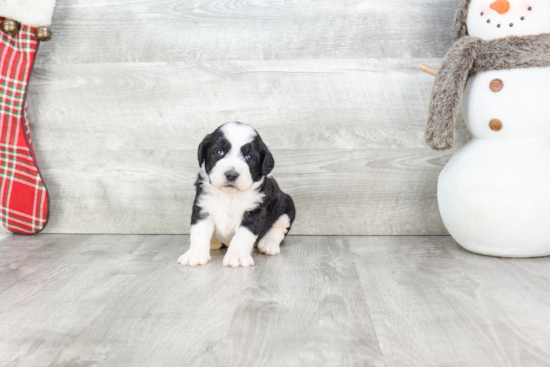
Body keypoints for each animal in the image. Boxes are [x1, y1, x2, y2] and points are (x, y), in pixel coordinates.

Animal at [179, 122, 296, 268]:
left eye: (249, 157)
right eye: (219, 152)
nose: (231, 174)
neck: (229, 195)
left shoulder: (254, 212)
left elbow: (243, 236)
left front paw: (237, 256)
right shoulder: (203, 206)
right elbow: (199, 232)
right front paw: (195, 254)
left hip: (286, 205)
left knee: (278, 227)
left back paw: (268, 244)